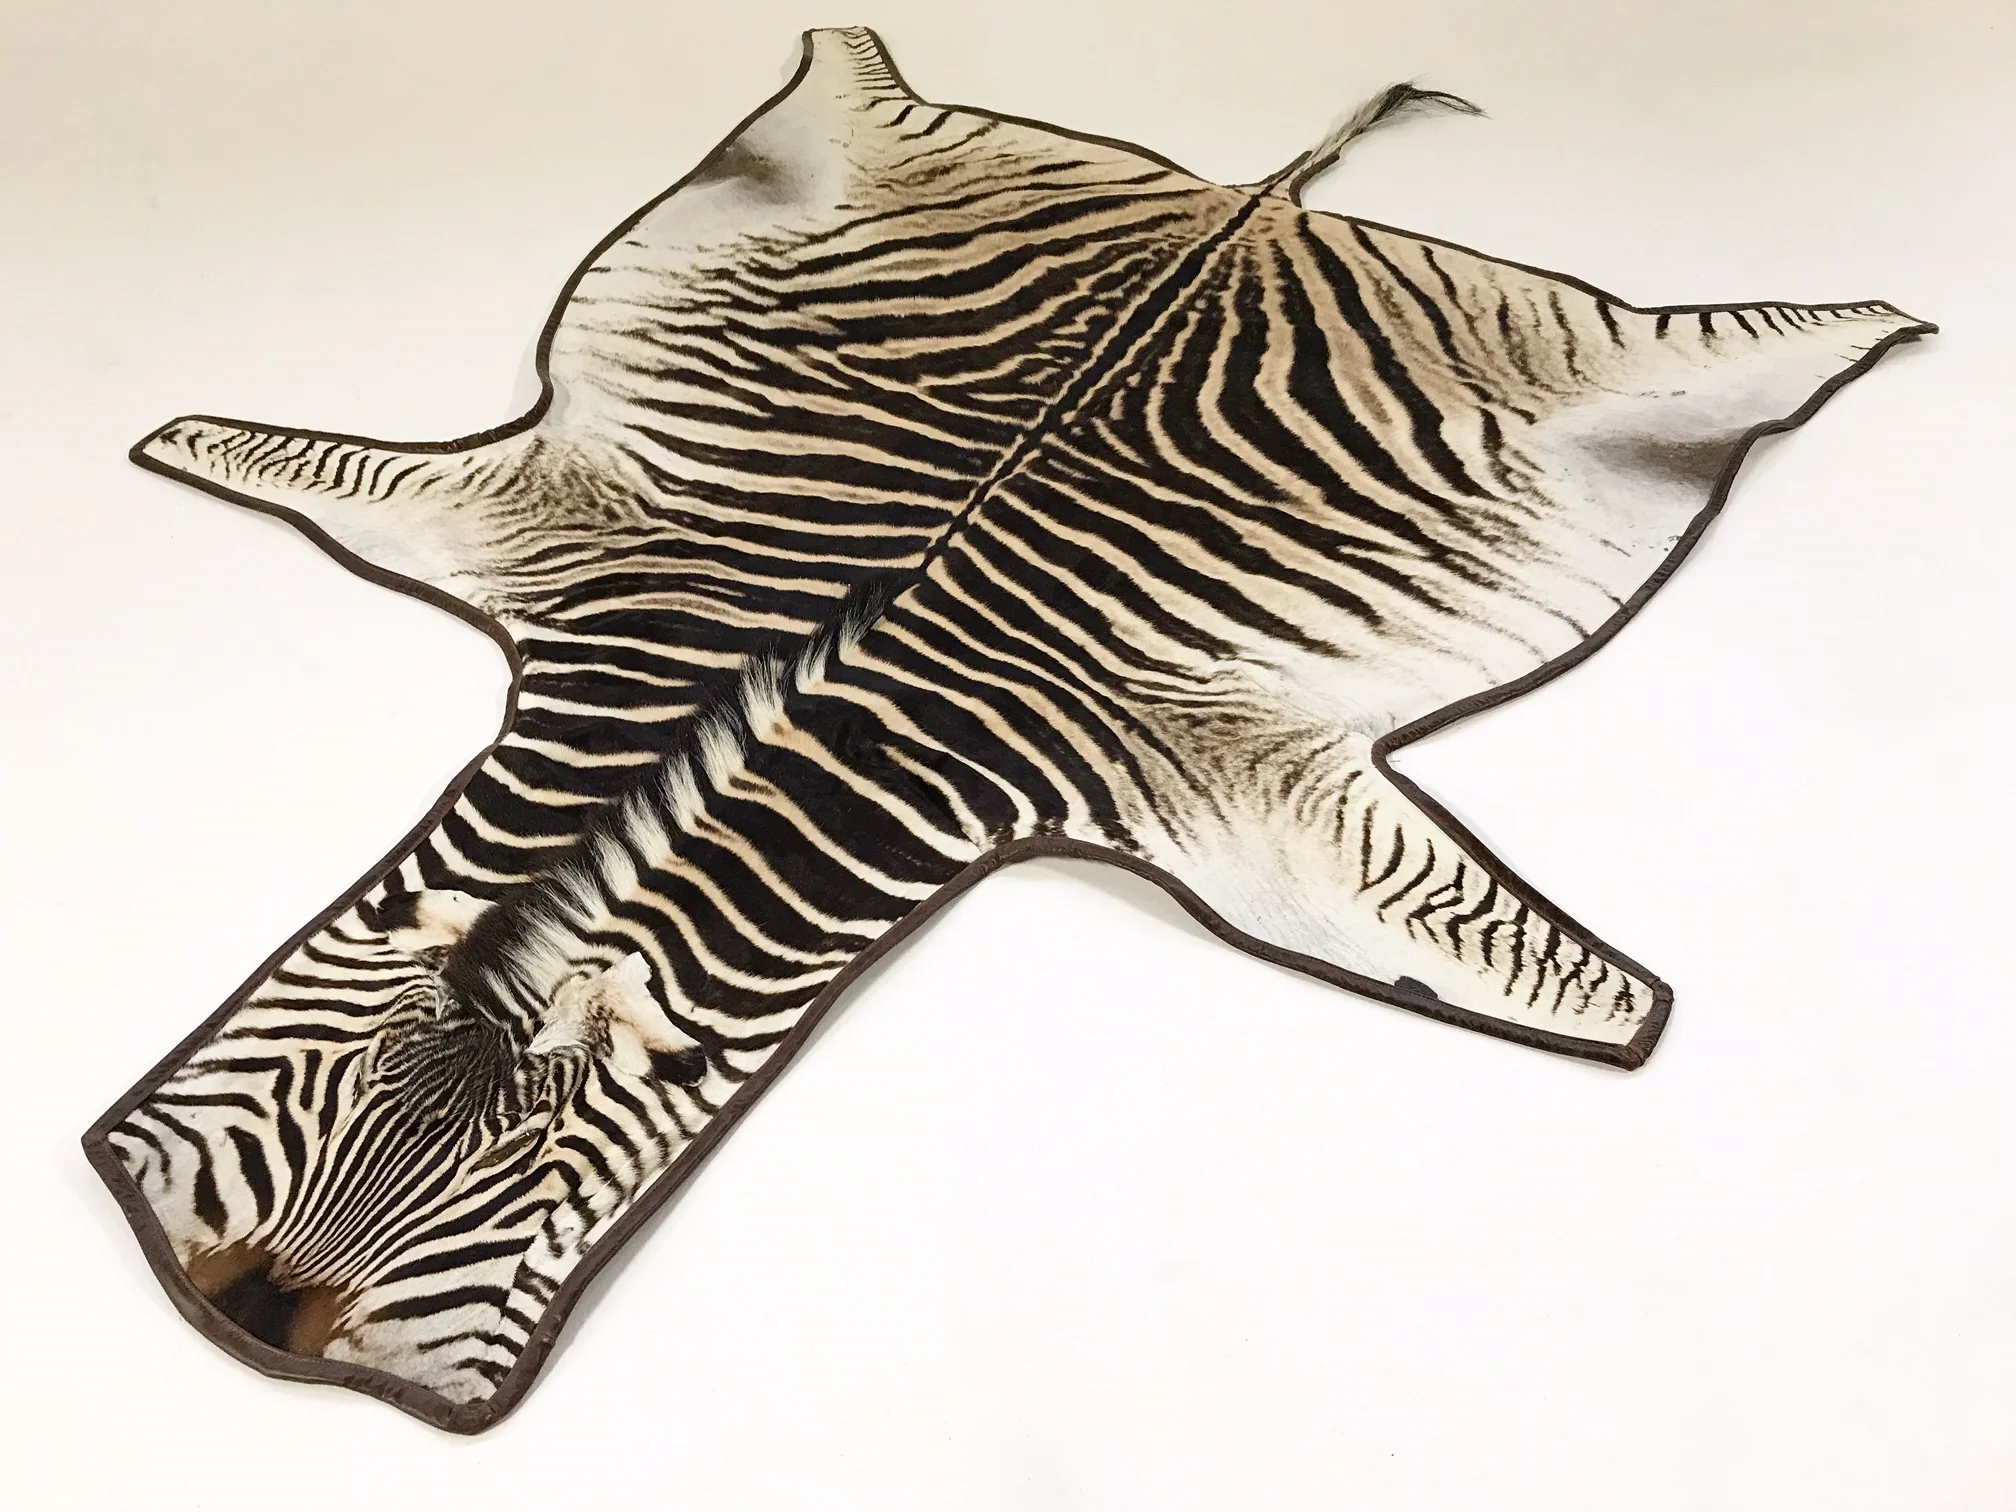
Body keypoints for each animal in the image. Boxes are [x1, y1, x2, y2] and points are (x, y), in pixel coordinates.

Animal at [89, 26, 1931, 1430]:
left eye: (531, 1186)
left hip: (1631, 364)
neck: (787, 701)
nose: (246, 1323)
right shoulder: (546, 520)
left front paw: (1621, 1011)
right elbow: (308, 469)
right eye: (296, 1112)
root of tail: (1245, 206)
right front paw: (187, 444)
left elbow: (1495, 959)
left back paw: (1868, 323)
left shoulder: (1212, 786)